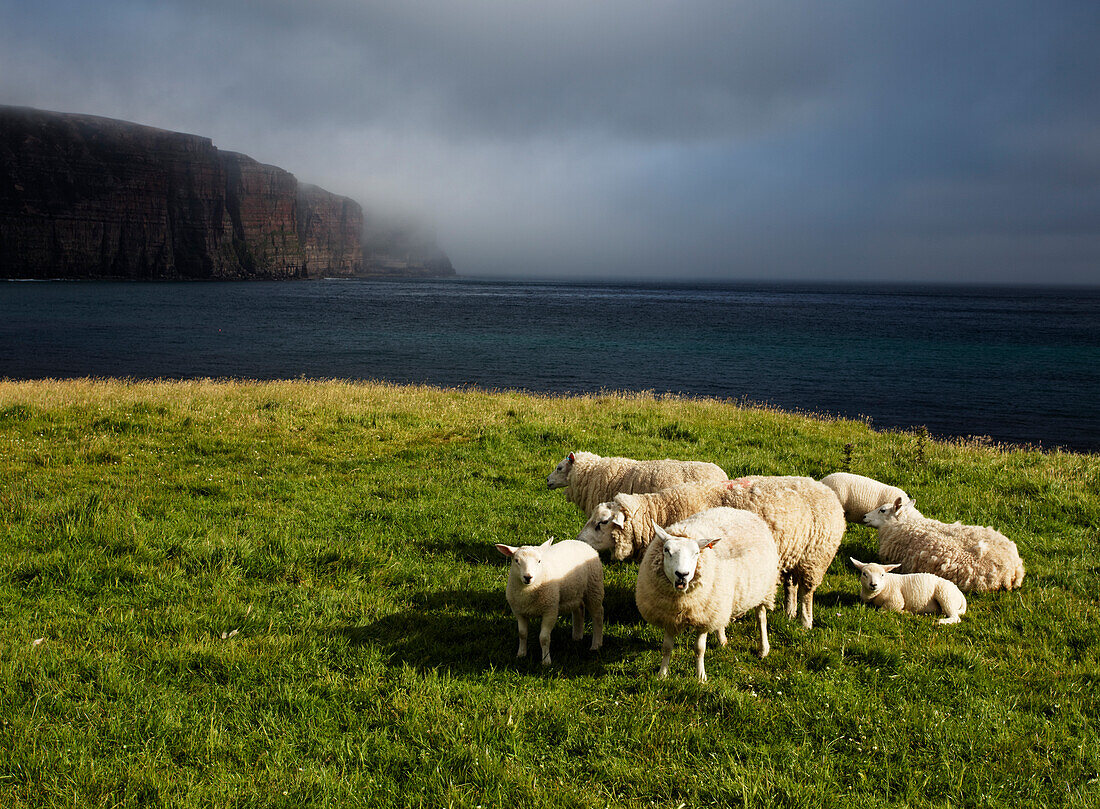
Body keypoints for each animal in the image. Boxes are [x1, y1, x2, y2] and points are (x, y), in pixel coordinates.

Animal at [495, 541, 607, 669]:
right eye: (516, 560)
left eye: (539, 561)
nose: (528, 577)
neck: (528, 592)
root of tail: (582, 542)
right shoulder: (519, 612)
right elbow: (522, 634)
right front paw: (521, 654)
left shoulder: (550, 611)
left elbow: (544, 638)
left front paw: (546, 661)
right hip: (575, 592)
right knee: (579, 609)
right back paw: (577, 637)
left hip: (594, 587)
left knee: (598, 614)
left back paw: (596, 645)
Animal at [580, 477, 844, 629]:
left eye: (602, 523)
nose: (579, 541)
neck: (663, 510)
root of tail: (826, 489)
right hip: (792, 555)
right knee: (791, 586)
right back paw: (789, 613)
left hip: (815, 557)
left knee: (807, 592)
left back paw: (805, 622)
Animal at [633, 512, 778, 682]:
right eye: (666, 550)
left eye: (696, 553)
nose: (682, 574)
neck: (681, 603)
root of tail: (741, 511)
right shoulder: (669, 616)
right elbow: (666, 648)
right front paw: (662, 675)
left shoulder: (703, 618)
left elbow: (699, 649)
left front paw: (700, 677)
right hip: (720, 601)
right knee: (722, 620)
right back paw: (722, 640)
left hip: (764, 589)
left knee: (761, 617)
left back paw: (763, 649)